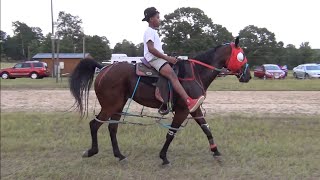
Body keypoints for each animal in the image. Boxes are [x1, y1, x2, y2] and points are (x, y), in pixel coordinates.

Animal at [69, 37, 251, 166]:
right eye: (242, 56)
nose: (248, 76)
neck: (196, 73)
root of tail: (104, 68)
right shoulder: (183, 111)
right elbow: (171, 133)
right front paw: (163, 157)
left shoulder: (194, 109)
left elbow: (206, 128)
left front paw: (216, 152)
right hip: (110, 105)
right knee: (94, 124)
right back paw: (92, 151)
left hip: (118, 106)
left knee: (112, 128)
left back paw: (120, 156)